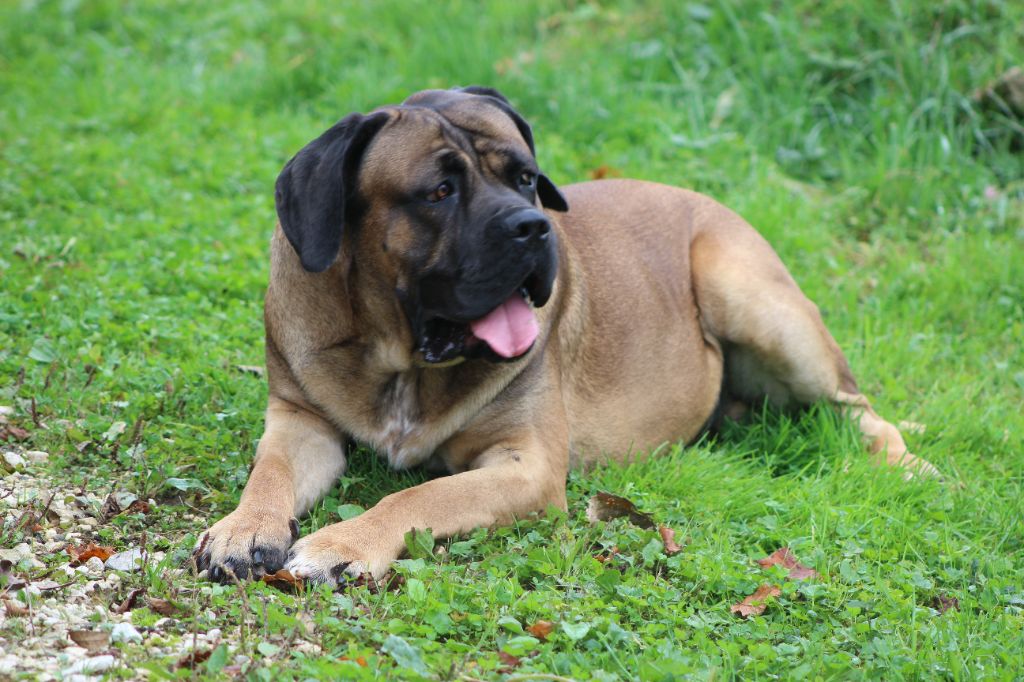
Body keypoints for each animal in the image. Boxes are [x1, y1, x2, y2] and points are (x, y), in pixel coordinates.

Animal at [192, 86, 939, 585]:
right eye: (438, 192)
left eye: (524, 177)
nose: (532, 227)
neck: (400, 358)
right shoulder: (301, 420)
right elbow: (271, 470)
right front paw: (244, 528)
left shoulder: (526, 466)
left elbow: (421, 494)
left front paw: (344, 543)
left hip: (754, 299)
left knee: (861, 411)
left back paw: (909, 468)